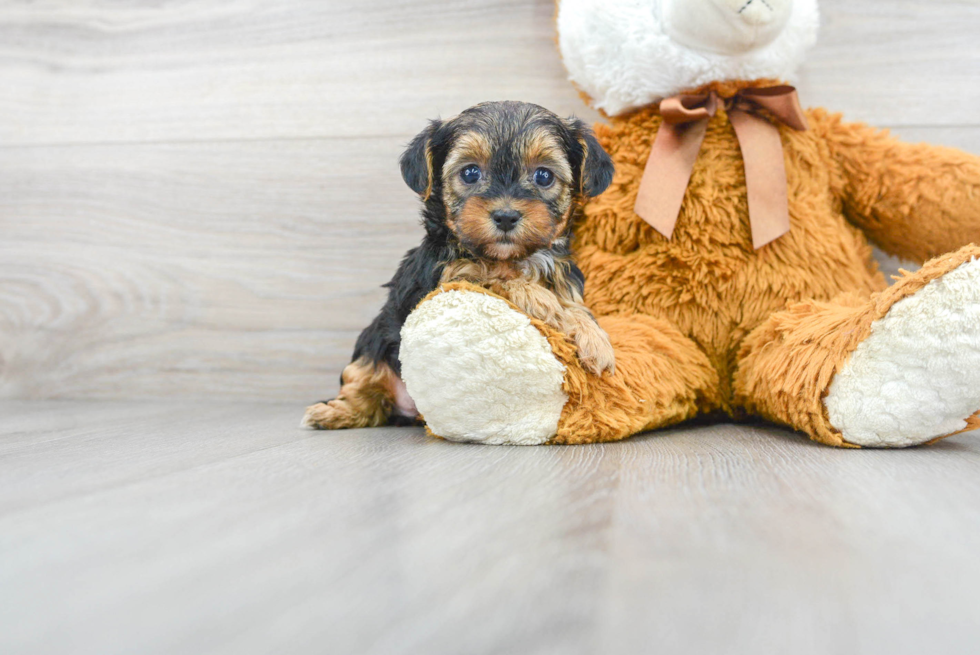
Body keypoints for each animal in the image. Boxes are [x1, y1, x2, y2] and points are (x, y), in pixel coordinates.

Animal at [302, 101, 616, 430]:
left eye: (544, 176)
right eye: (470, 172)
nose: (506, 216)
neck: (509, 257)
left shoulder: (565, 280)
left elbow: (576, 308)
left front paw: (595, 340)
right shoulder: (447, 279)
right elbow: (497, 279)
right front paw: (541, 299)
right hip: (372, 346)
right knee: (363, 388)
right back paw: (331, 413)